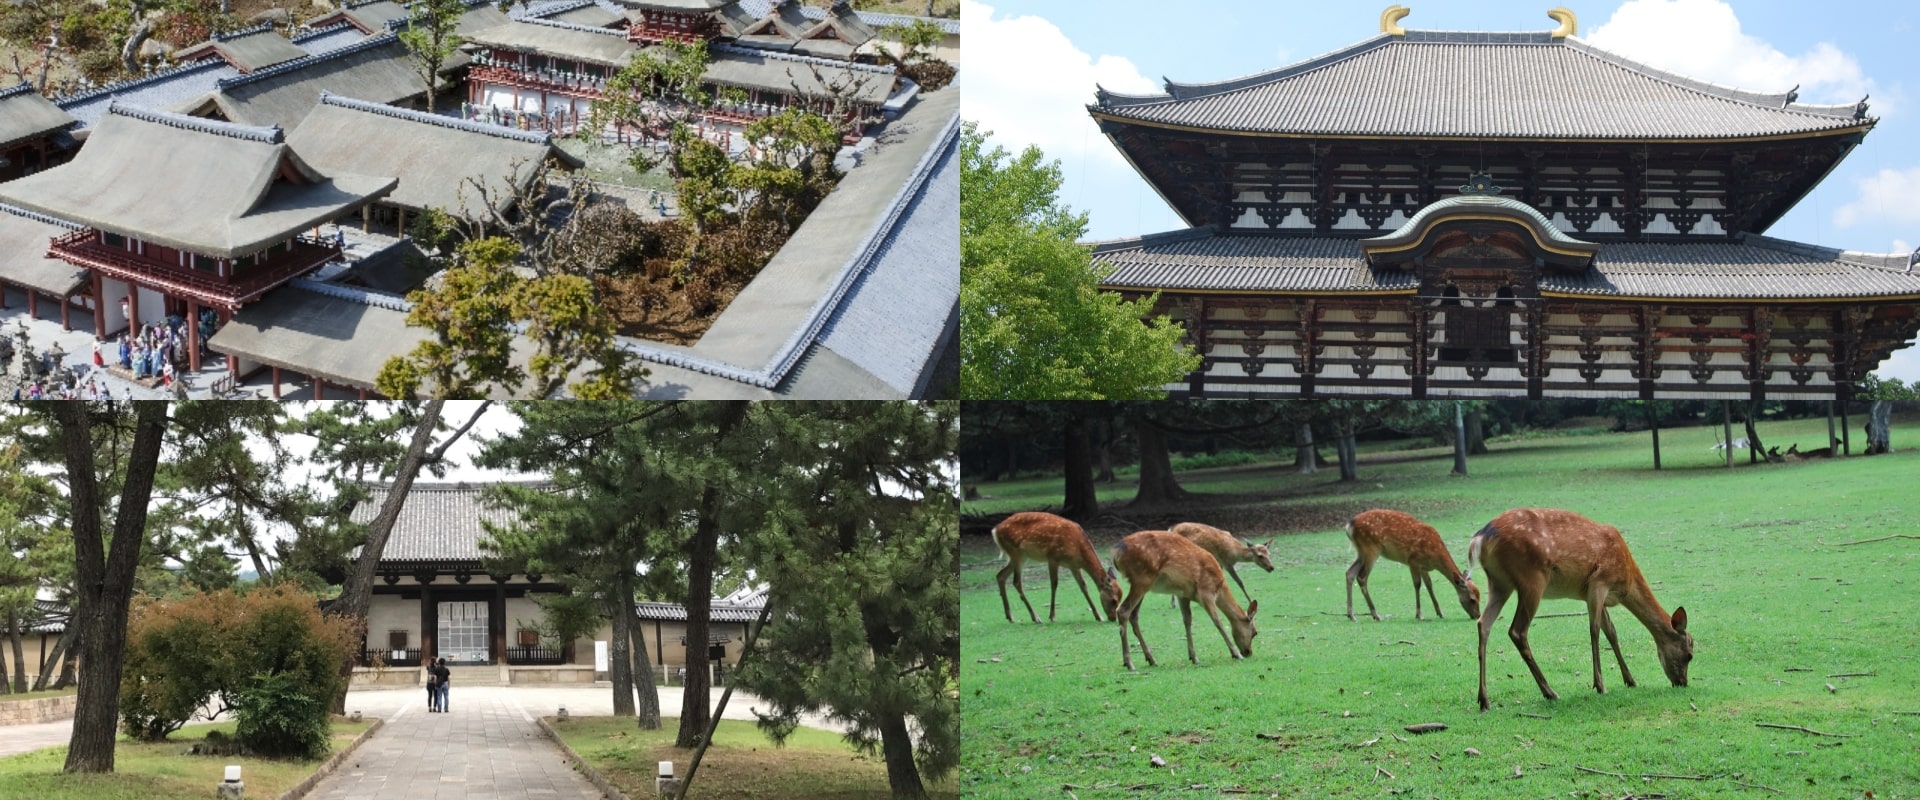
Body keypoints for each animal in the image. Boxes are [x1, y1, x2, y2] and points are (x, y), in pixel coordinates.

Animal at [990, 510, 1121, 621]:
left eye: (1120, 598)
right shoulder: (1052, 557)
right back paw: (1035, 617)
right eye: (1114, 600)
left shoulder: (1074, 565)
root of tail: (995, 530)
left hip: (1020, 557)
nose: (1113, 618)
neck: (1078, 549)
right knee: (1016, 582)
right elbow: (1054, 584)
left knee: (1000, 575)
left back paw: (1010, 616)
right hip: (1016, 552)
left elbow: (1083, 587)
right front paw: (1052, 616)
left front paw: (1098, 616)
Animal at [1113, 529, 1259, 667]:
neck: (1219, 587)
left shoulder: (1183, 594)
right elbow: (1217, 621)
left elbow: (1187, 620)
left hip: (1142, 583)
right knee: (1123, 611)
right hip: (1142, 578)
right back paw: (1130, 663)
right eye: (1255, 632)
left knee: (1134, 615)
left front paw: (1194, 658)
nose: (1248, 652)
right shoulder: (1206, 590)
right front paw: (1235, 654)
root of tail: (1116, 553)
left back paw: (1151, 659)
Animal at [1344, 506, 1474, 621]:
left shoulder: (1423, 567)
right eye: (1472, 599)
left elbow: (1429, 584)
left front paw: (1440, 612)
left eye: (1478, 594)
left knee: (1349, 573)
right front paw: (1419, 615)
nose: (1476, 616)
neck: (1435, 556)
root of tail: (1349, 525)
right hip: (1371, 548)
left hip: (1361, 552)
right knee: (1361, 577)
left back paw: (1352, 615)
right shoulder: (1413, 561)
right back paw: (1376, 615)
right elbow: (1417, 584)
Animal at [1466, 506, 1697, 705]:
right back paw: (1550, 692)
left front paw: (1630, 680)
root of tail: (1480, 538)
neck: (1628, 580)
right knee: (1517, 631)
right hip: (1531, 578)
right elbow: (1594, 630)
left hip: (1499, 583)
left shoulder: (1593, 595)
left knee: (1483, 624)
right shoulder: (1599, 582)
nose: (1682, 683)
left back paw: (1484, 699)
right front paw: (1600, 685)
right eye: (1689, 655)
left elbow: (1611, 632)